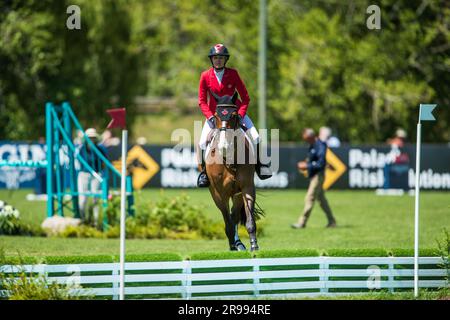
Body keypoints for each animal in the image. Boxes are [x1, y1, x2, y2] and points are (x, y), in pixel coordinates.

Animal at [199, 91, 266, 251]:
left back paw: (239, 244)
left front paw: (254, 245)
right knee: (229, 218)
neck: (229, 157)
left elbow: (248, 219)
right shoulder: (219, 193)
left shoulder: (247, 187)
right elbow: (227, 222)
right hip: (217, 193)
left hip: (236, 194)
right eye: (215, 116)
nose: (224, 146)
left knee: (234, 216)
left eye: (234, 115)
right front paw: (232, 246)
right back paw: (234, 244)